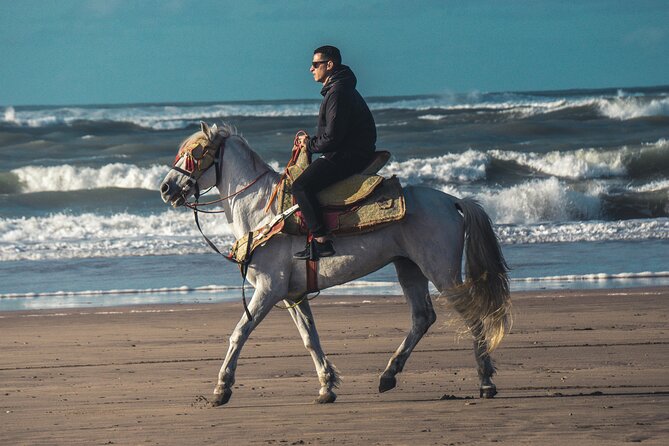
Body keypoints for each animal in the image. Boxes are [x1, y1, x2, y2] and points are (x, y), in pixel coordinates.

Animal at [159, 122, 512, 406]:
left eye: (195, 153)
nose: (166, 189)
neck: (261, 209)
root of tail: (452, 201)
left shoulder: (269, 289)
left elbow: (239, 332)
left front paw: (222, 388)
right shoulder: (293, 295)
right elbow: (309, 338)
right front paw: (326, 386)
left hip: (441, 271)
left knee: (472, 316)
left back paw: (485, 380)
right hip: (409, 268)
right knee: (422, 317)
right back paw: (389, 374)